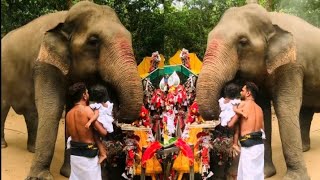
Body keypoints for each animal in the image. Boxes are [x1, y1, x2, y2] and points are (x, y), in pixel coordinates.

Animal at [1, 1, 143, 179]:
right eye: (93, 41)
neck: (65, 17)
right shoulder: (44, 64)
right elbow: (52, 108)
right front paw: (41, 177)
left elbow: (72, 108)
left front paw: (68, 172)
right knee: (4, 106)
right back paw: (4, 145)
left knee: (31, 111)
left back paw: (32, 149)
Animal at [196, 2, 318, 180]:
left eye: (243, 42)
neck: (271, 18)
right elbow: (262, 109)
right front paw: (265, 173)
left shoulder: (292, 65)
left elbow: (285, 108)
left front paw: (293, 178)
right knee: (306, 111)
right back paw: (304, 149)